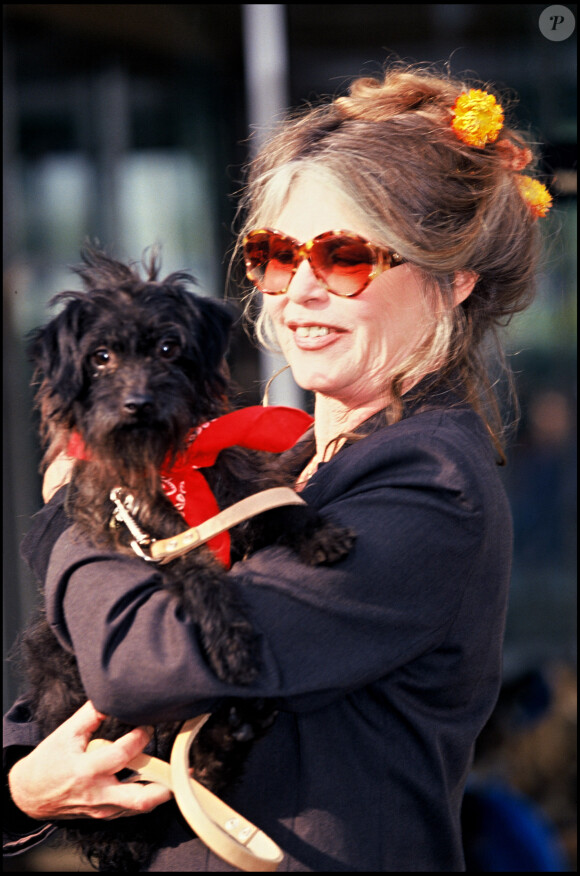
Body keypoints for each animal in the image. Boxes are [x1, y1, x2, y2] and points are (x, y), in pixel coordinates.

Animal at [18, 246, 354, 868]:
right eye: (100, 358)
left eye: (169, 349)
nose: (138, 403)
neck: (165, 461)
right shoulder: (146, 542)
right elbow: (198, 573)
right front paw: (232, 639)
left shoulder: (233, 489)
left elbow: (270, 506)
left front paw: (319, 533)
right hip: (66, 684)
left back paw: (231, 733)